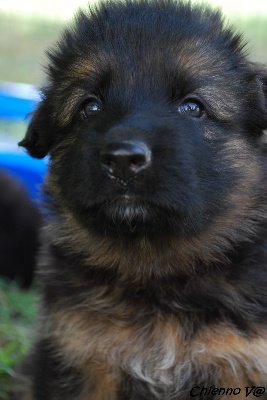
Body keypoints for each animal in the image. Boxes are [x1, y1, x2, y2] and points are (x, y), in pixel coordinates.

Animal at [15, 0, 267, 400]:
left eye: (192, 107)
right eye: (90, 107)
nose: (123, 159)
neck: (154, 273)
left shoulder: (242, 365)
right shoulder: (80, 356)